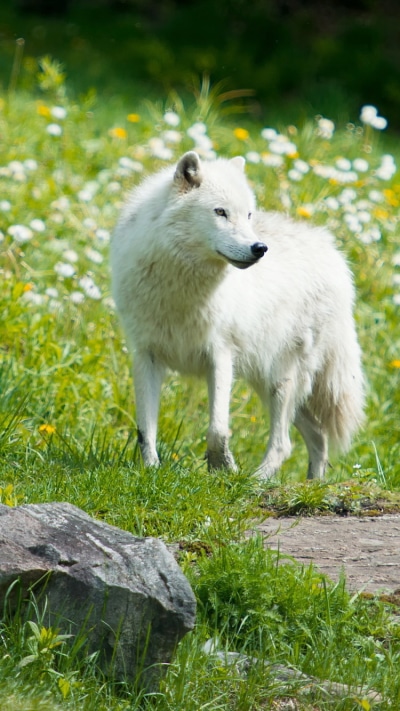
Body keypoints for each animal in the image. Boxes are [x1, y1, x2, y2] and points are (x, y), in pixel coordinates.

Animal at [111, 151, 364, 479]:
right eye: (220, 212)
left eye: (248, 215)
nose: (260, 248)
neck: (180, 286)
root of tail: (334, 254)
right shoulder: (146, 356)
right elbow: (145, 430)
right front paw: (152, 471)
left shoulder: (220, 355)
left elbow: (217, 430)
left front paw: (224, 468)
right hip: (267, 382)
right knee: (318, 436)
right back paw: (313, 485)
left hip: (281, 380)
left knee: (284, 443)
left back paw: (256, 482)